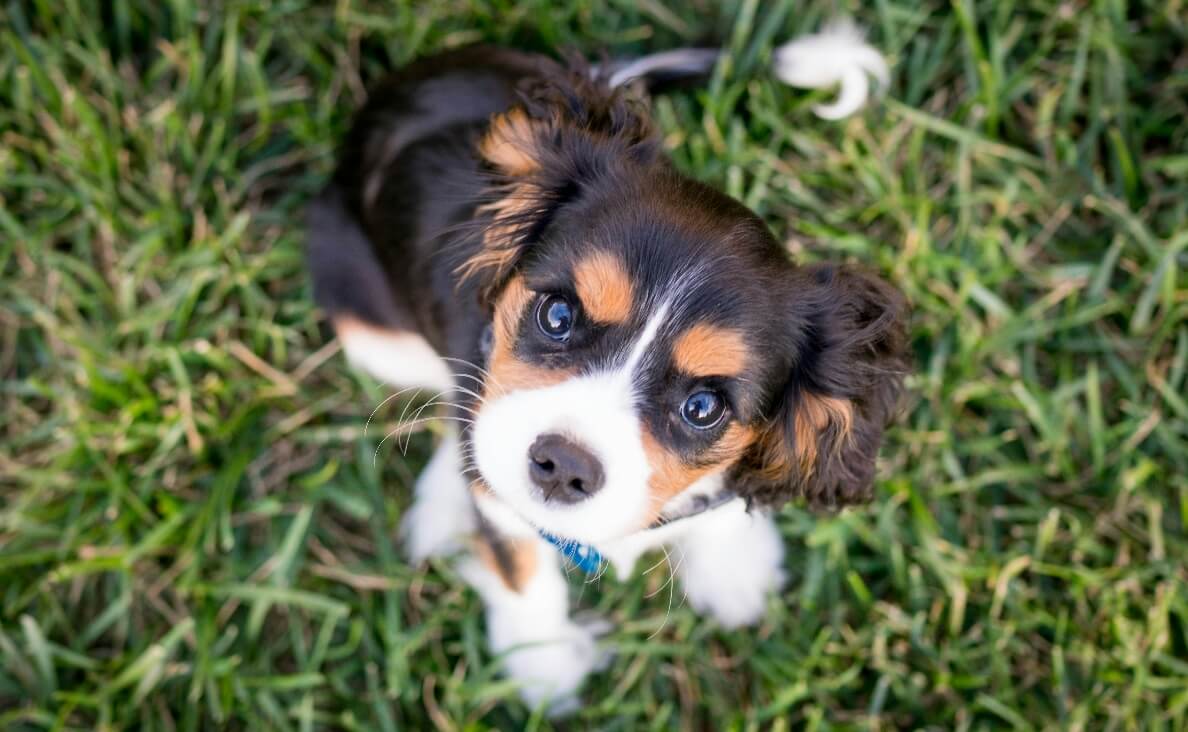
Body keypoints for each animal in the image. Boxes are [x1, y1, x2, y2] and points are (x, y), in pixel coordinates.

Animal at [306, 37, 907, 712]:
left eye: (704, 407)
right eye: (558, 315)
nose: (563, 465)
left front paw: (733, 569)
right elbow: (519, 565)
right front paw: (541, 669)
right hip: (367, 320)